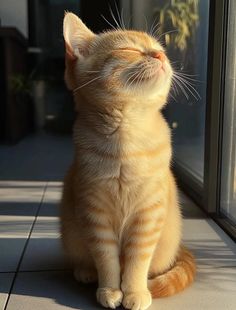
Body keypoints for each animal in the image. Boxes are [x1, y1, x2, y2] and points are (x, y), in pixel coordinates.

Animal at [60, 11, 195, 310]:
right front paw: (110, 290)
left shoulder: (147, 216)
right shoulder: (95, 214)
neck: (126, 140)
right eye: (130, 49)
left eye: (159, 48)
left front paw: (134, 291)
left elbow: (136, 262)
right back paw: (85, 272)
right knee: (84, 260)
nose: (160, 55)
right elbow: (107, 259)